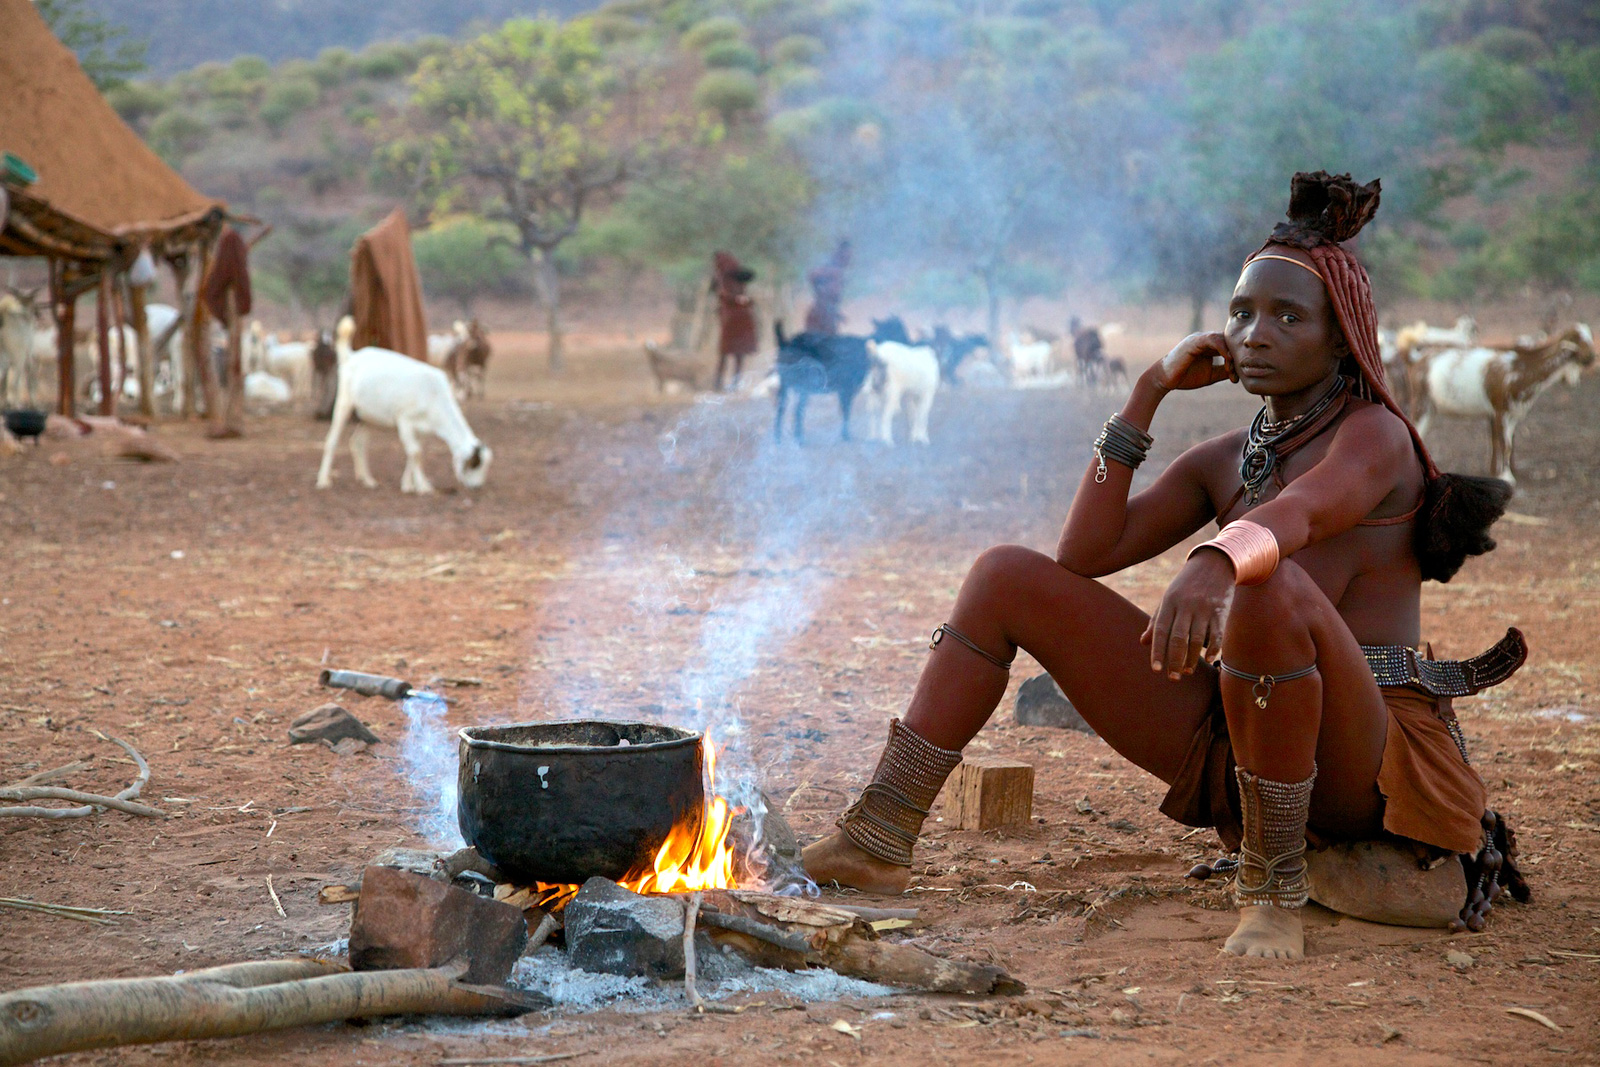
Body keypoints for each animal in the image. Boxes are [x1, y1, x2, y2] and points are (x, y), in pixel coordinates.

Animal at [312, 315, 486, 495]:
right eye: (474, 464)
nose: (477, 487)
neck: (435, 395)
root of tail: (351, 356)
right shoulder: (405, 421)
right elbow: (415, 453)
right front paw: (422, 487)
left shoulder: (422, 429)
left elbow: (416, 453)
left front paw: (410, 485)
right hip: (344, 402)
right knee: (332, 440)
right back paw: (323, 480)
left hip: (368, 417)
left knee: (358, 443)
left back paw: (367, 480)